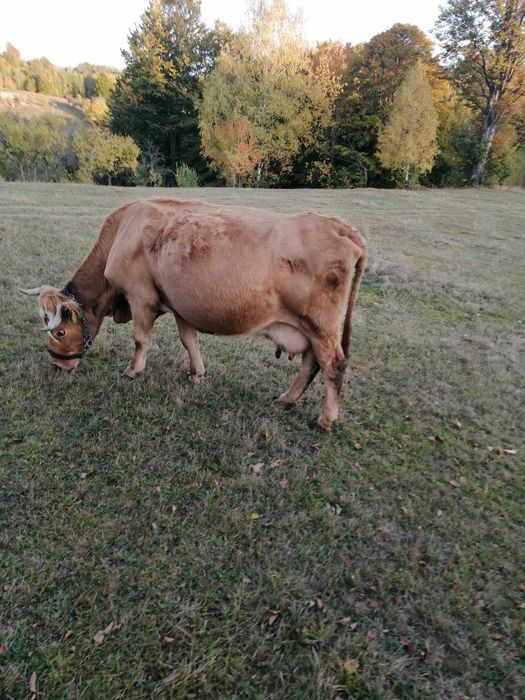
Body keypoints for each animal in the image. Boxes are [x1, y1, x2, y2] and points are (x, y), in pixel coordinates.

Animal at [21, 198, 366, 430]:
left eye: (59, 331)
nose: (55, 364)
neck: (123, 231)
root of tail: (340, 226)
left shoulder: (141, 296)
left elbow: (141, 339)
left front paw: (133, 371)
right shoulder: (179, 304)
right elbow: (189, 340)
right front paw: (197, 374)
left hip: (321, 326)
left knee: (332, 365)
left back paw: (326, 418)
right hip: (310, 328)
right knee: (311, 364)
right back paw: (287, 398)